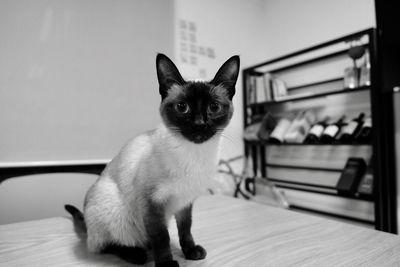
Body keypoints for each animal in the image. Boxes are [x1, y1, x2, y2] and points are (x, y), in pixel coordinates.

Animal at [66, 53, 241, 266]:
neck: (194, 155)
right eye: (182, 107)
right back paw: (137, 254)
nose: (199, 124)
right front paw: (166, 263)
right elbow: (161, 237)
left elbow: (186, 229)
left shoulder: (185, 201)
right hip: (113, 211)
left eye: (214, 107)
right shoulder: (151, 203)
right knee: (105, 246)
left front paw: (191, 252)